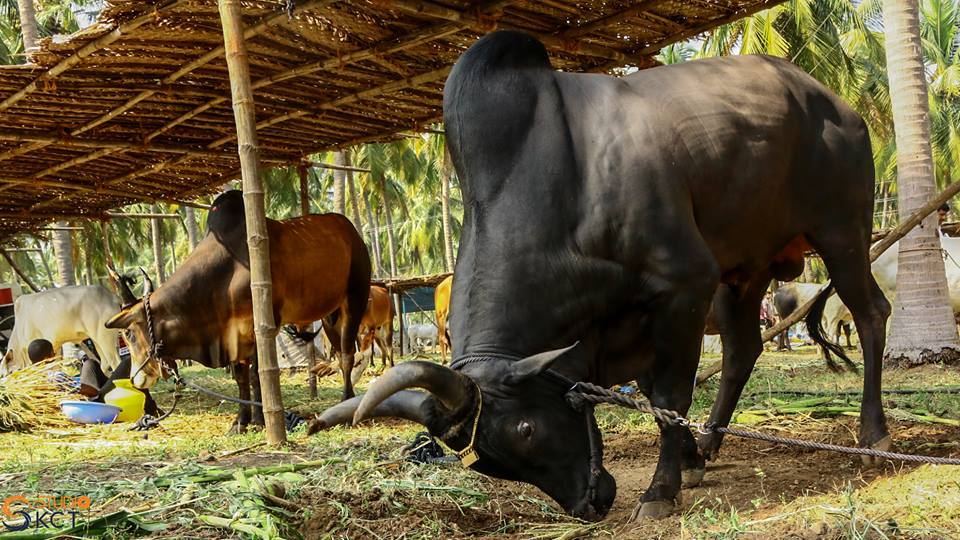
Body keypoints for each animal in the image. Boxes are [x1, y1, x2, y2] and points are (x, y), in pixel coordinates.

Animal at [107, 192, 372, 432]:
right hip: (329, 316)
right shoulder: (232, 336)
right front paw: (241, 421)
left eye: (128, 333)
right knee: (340, 352)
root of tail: (351, 232)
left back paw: (346, 399)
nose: (135, 379)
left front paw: (260, 420)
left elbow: (256, 376)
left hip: (355, 299)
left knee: (347, 355)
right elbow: (240, 378)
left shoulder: (258, 327)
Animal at [316, 31, 892, 520]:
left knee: (871, 313)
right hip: (744, 272)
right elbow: (656, 389)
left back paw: (874, 436)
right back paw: (711, 441)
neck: (560, 181)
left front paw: (660, 490)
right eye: (486, 462)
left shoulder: (684, 283)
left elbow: (669, 397)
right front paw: (690, 460)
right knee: (742, 350)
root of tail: (833, 101)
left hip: (841, 232)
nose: (589, 504)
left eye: (526, 428)